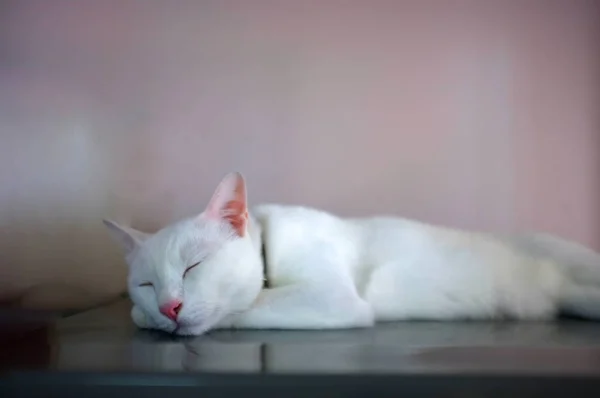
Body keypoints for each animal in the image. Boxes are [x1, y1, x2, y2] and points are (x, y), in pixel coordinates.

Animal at [105, 173, 600, 334]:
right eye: (146, 284)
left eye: (194, 266)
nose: (169, 307)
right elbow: (132, 312)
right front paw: (146, 315)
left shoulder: (330, 297)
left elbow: (246, 305)